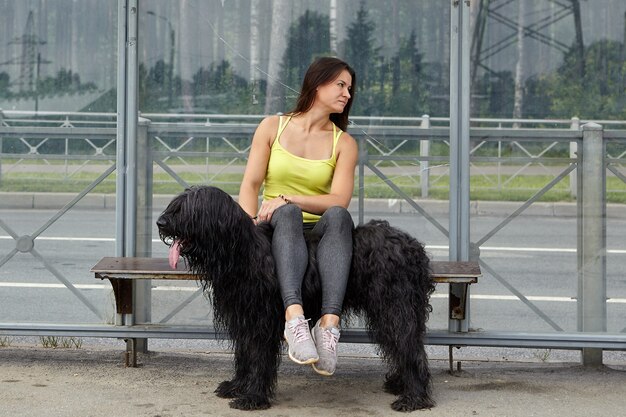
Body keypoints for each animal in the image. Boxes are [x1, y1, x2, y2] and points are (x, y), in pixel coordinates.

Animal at [156, 184, 434, 410]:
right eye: (174, 206)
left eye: (186, 209)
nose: (160, 222)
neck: (242, 252)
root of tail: (413, 247)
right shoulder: (243, 318)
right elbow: (244, 355)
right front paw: (237, 386)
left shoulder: (261, 320)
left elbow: (257, 356)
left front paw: (252, 397)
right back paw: (400, 384)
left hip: (395, 307)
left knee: (409, 346)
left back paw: (414, 397)